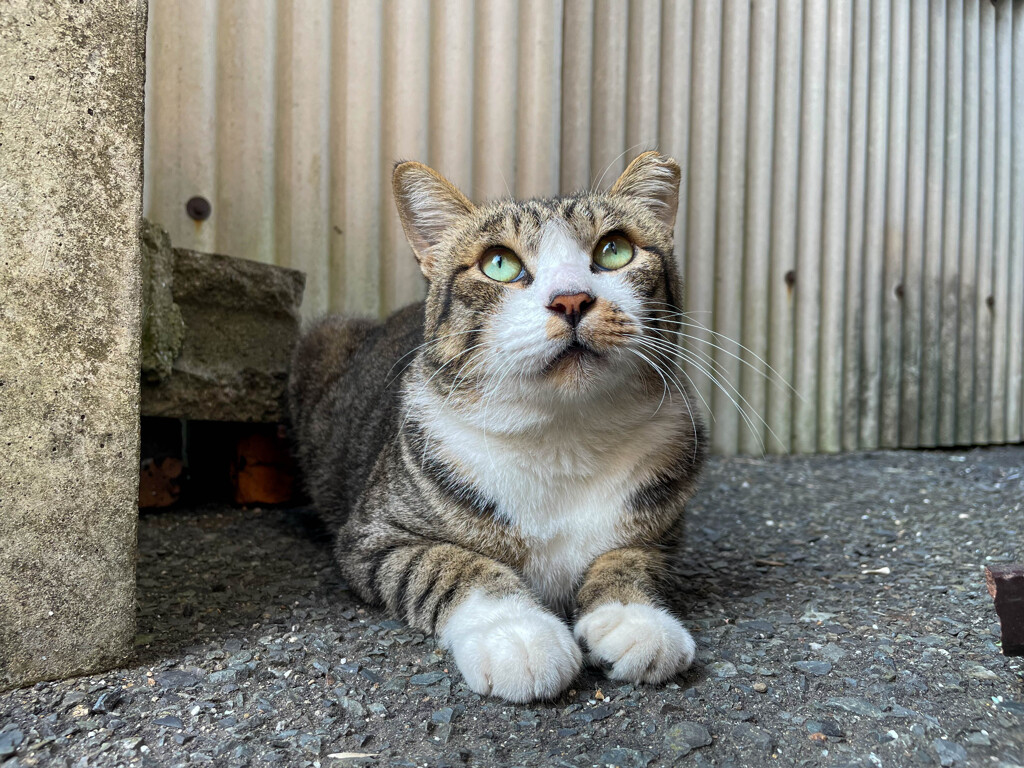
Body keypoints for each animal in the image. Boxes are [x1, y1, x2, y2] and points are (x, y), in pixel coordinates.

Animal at [286, 150, 704, 704]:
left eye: (615, 250)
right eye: (499, 263)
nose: (571, 299)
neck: (562, 436)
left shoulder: (664, 531)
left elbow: (633, 559)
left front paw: (634, 620)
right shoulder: (375, 538)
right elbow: (450, 566)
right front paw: (518, 636)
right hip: (323, 340)